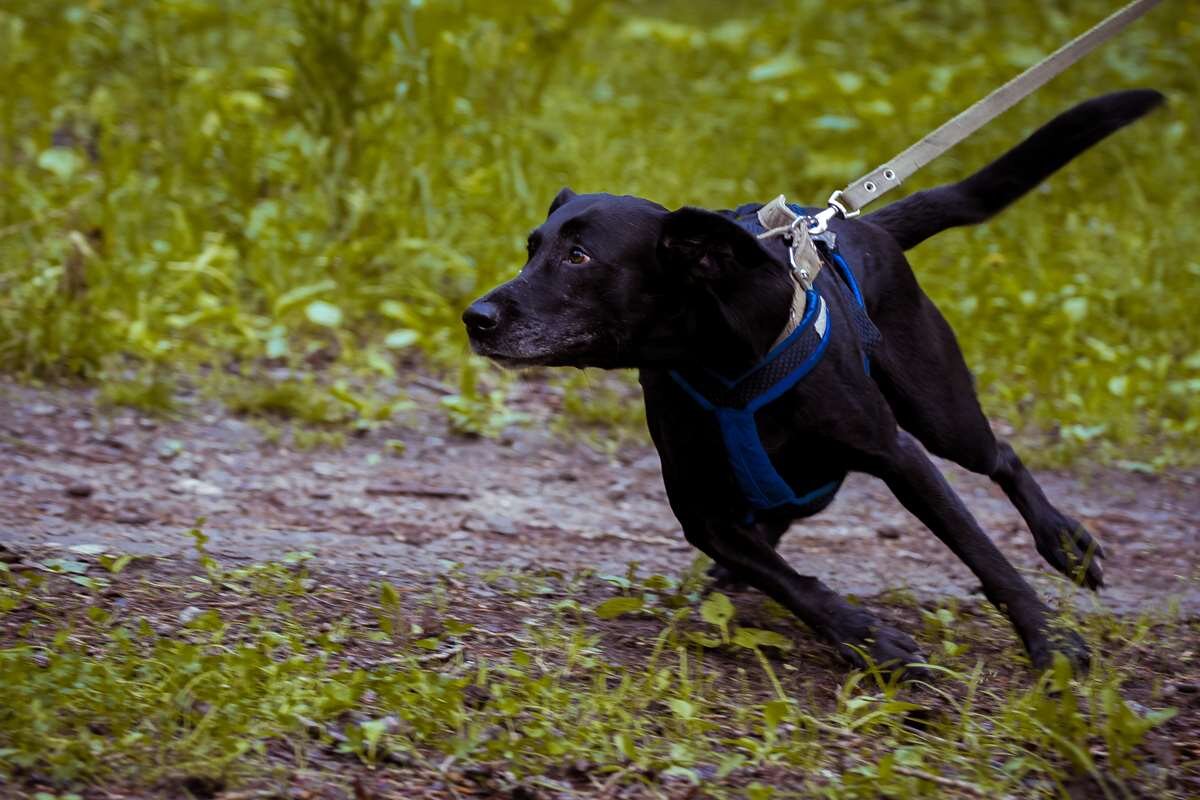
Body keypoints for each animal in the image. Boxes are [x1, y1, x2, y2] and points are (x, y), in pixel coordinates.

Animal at [460, 90, 1161, 671]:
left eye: (579, 257)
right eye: (531, 249)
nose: (475, 317)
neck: (721, 359)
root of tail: (863, 224)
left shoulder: (900, 455)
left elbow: (984, 554)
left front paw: (1050, 641)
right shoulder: (700, 510)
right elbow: (788, 581)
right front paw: (865, 638)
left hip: (940, 412)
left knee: (1001, 455)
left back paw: (1063, 543)